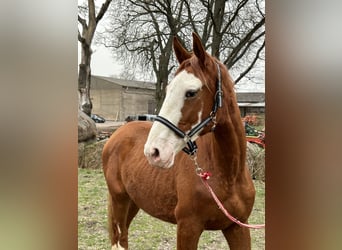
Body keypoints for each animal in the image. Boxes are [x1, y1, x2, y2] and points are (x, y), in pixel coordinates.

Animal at [103, 32, 255, 248]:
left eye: (191, 92)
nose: (153, 152)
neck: (229, 175)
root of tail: (117, 134)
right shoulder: (188, 228)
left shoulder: (238, 227)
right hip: (119, 200)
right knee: (119, 239)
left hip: (133, 201)